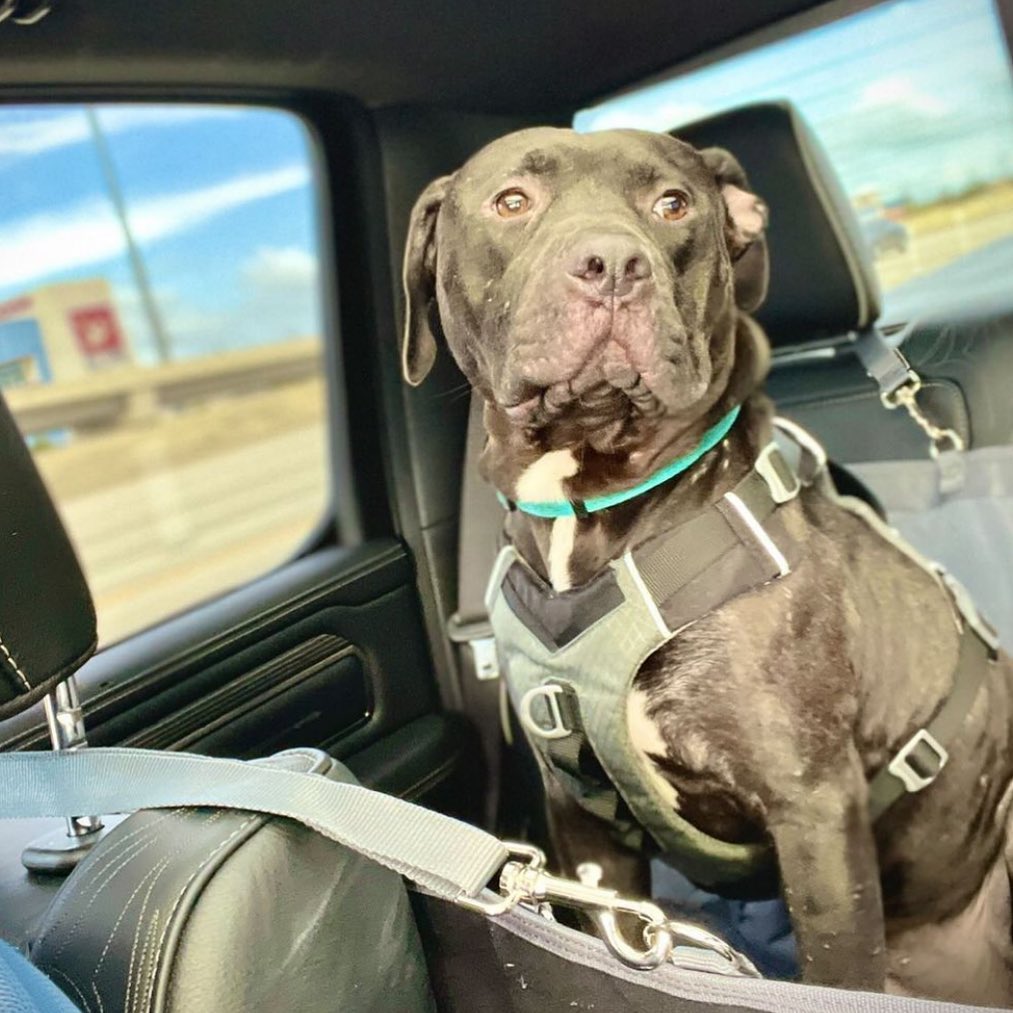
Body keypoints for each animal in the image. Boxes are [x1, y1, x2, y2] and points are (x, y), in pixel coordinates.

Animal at [399, 128, 1008, 1004]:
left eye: (672, 204)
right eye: (511, 200)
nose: (611, 263)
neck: (593, 508)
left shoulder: (814, 812)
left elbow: (832, 969)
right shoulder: (582, 819)